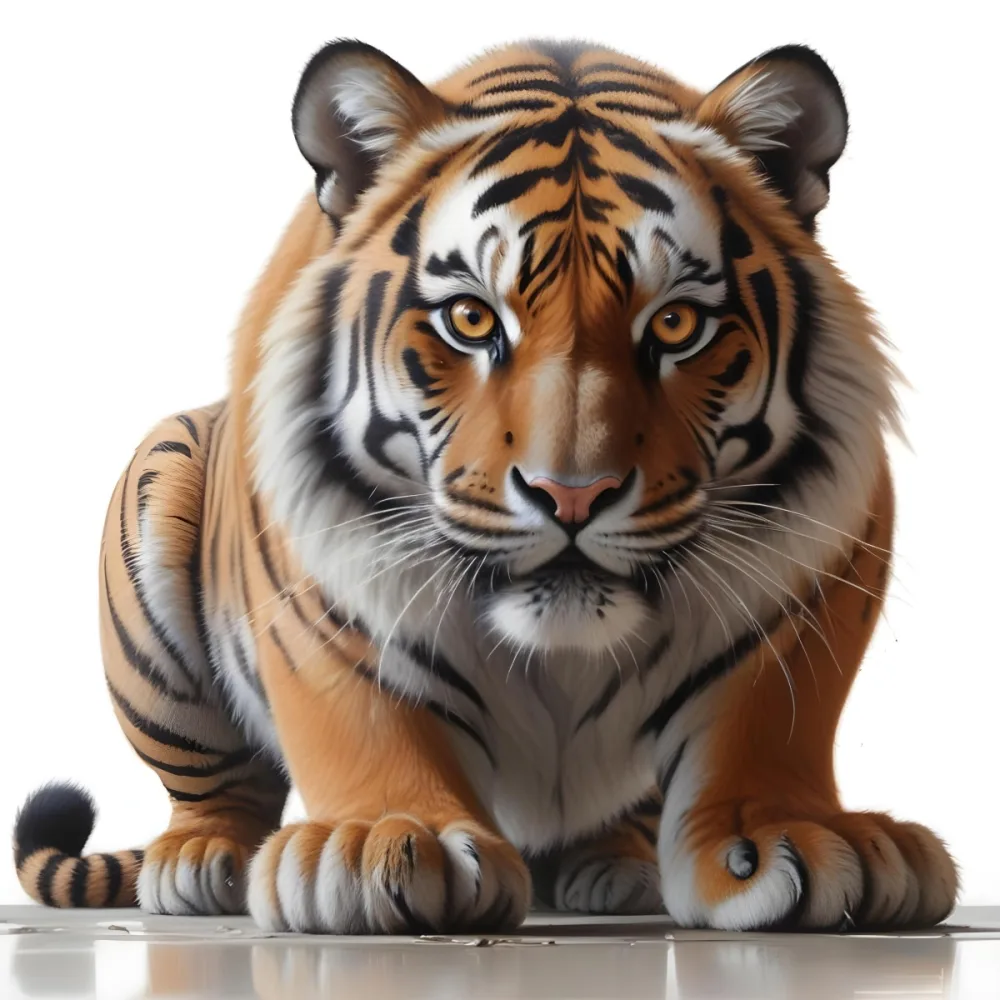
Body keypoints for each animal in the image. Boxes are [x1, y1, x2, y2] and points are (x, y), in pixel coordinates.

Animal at [13, 38, 958, 934]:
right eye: (471, 319)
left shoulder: (822, 566)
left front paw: (803, 834)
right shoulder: (319, 582)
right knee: (217, 784)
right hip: (161, 481)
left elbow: (770, 716)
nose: (571, 495)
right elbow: (358, 706)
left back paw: (618, 866)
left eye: (676, 325)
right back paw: (200, 861)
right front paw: (384, 841)